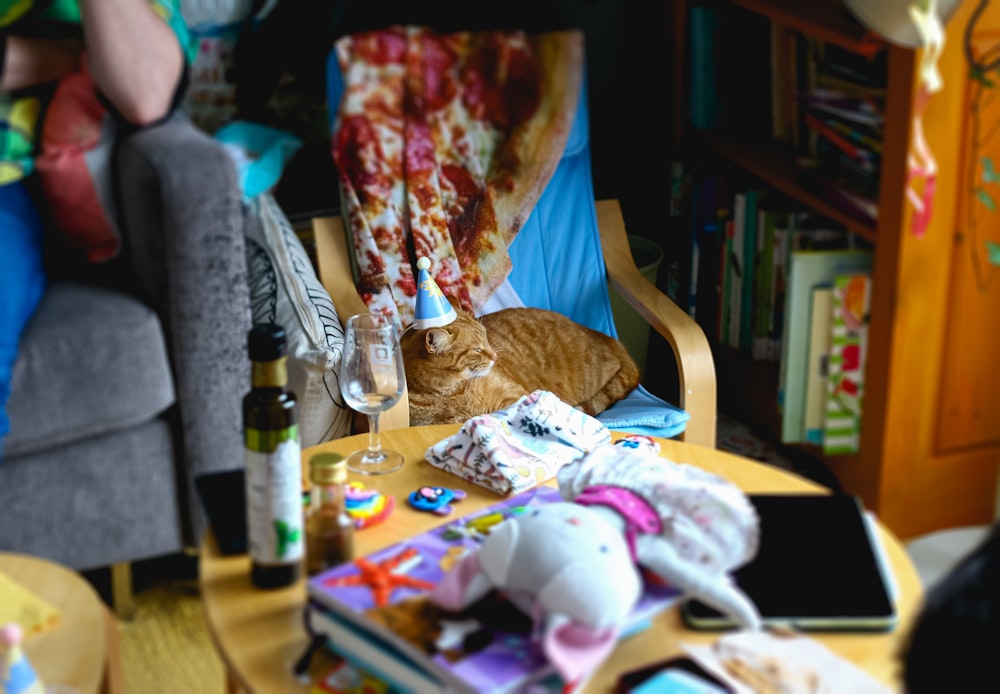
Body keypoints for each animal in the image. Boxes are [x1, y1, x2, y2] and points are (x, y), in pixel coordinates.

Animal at [400, 300, 640, 430]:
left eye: (486, 338)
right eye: (477, 349)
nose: (495, 356)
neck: (451, 392)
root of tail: (610, 339)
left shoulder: (516, 397)